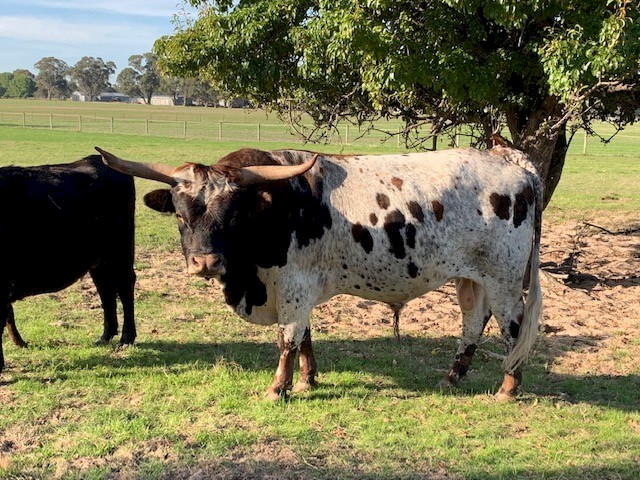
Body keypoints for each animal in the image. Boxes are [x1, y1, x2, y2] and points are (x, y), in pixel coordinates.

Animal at [0, 155, 137, 374]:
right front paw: (19, 343)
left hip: (120, 253)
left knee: (125, 288)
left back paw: (126, 339)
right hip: (99, 260)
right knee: (106, 290)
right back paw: (105, 336)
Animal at [96, 141, 542, 401]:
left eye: (232, 213)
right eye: (180, 214)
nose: (205, 263)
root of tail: (509, 159)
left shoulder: (294, 285)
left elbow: (288, 338)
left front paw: (278, 388)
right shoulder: (296, 288)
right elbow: (306, 337)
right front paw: (308, 379)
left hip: (503, 278)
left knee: (513, 328)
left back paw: (508, 388)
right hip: (471, 276)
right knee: (473, 322)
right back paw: (452, 377)